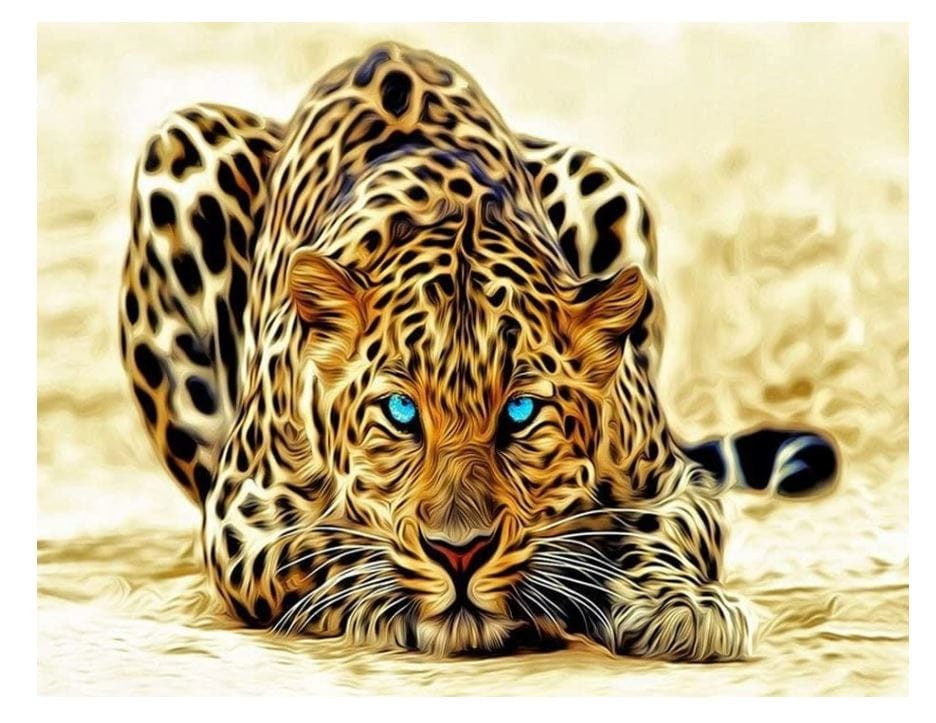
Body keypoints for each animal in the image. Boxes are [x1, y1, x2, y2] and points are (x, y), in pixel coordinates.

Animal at [118, 42, 838, 660]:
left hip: (606, 183)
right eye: (401, 413)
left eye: (520, 413)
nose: (459, 553)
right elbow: (325, 547)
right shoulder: (243, 513)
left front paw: (681, 606)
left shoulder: (672, 482)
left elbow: (662, 534)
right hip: (181, 146)